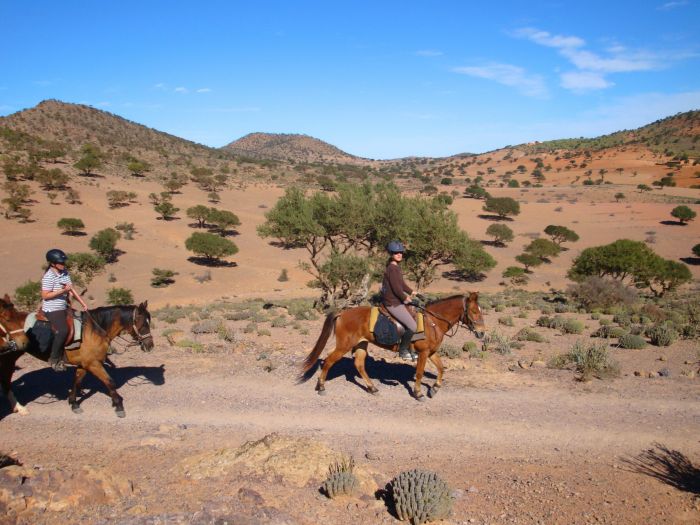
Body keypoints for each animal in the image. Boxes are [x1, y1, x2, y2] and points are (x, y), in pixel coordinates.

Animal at [0, 292, 154, 416]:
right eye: (142, 323)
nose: (150, 345)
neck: (96, 330)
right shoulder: (93, 364)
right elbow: (109, 381)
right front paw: (119, 406)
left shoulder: (84, 364)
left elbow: (77, 381)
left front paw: (73, 403)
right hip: (7, 360)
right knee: (6, 382)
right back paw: (19, 408)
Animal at [300, 292, 486, 400]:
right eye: (474, 311)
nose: (482, 333)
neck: (433, 322)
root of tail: (342, 312)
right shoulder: (424, 352)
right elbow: (419, 373)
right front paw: (418, 393)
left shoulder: (432, 352)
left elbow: (441, 368)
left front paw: (434, 388)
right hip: (344, 345)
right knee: (329, 361)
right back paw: (321, 387)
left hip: (361, 344)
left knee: (359, 365)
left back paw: (372, 388)